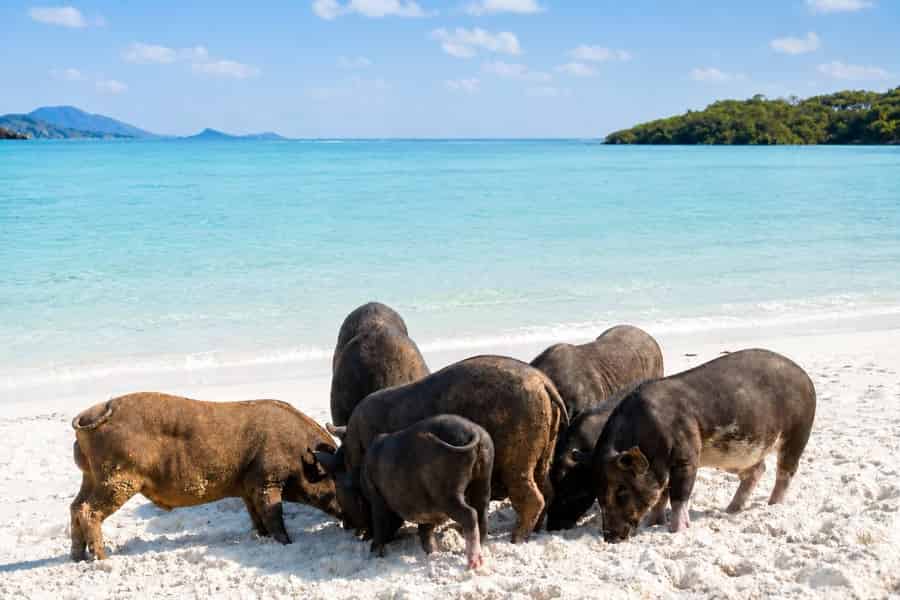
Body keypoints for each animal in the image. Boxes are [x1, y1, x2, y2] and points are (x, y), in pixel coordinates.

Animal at [69, 393, 342, 560]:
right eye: (334, 479)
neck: (298, 454)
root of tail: (87, 416)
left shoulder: (249, 487)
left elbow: (257, 517)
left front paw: (263, 538)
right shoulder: (267, 480)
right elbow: (273, 514)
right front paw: (288, 543)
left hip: (90, 476)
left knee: (74, 507)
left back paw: (78, 558)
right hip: (117, 479)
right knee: (88, 511)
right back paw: (103, 558)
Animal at [315, 355, 568, 543]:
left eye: (340, 485)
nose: (350, 529)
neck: (355, 454)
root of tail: (542, 383)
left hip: (517, 462)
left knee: (532, 498)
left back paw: (516, 539)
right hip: (542, 456)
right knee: (548, 489)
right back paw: (535, 532)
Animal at [361, 415, 494, 569]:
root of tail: (473, 431)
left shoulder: (376, 496)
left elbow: (379, 522)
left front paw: (373, 554)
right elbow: (425, 529)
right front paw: (433, 553)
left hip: (447, 487)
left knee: (470, 513)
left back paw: (473, 563)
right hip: (484, 473)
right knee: (481, 511)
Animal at [592, 349, 816, 543]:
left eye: (621, 491)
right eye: (599, 492)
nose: (609, 537)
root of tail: (805, 376)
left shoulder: (686, 455)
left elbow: (678, 495)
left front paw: (677, 530)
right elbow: (662, 496)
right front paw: (652, 524)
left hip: (798, 433)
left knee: (785, 471)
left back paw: (773, 505)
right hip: (739, 456)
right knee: (758, 469)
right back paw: (731, 510)